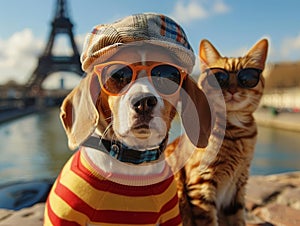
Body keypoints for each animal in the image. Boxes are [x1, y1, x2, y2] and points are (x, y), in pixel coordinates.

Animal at [166, 38, 270, 225]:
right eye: (219, 78)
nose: (233, 89)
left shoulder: (238, 185)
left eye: (247, 78)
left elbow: (238, 218)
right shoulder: (200, 184)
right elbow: (208, 219)